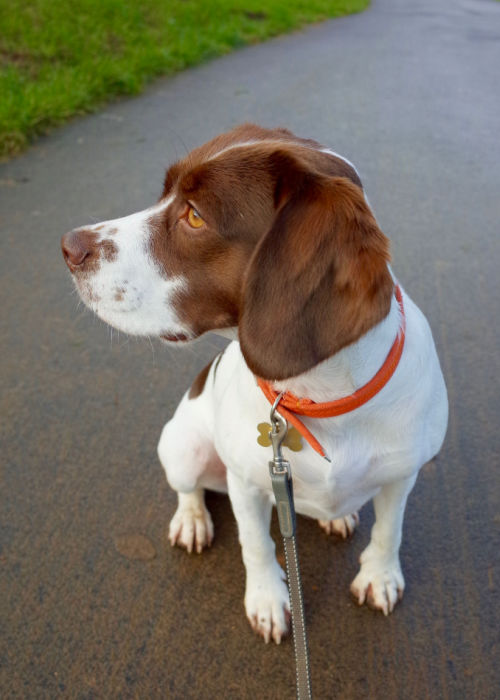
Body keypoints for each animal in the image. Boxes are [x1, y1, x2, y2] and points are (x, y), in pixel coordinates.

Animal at [61, 124, 450, 644]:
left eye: (194, 216)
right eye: (165, 194)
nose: (68, 246)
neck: (321, 393)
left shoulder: (402, 475)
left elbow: (390, 531)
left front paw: (380, 576)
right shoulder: (246, 481)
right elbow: (257, 545)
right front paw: (268, 599)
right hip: (182, 448)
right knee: (188, 489)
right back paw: (192, 520)